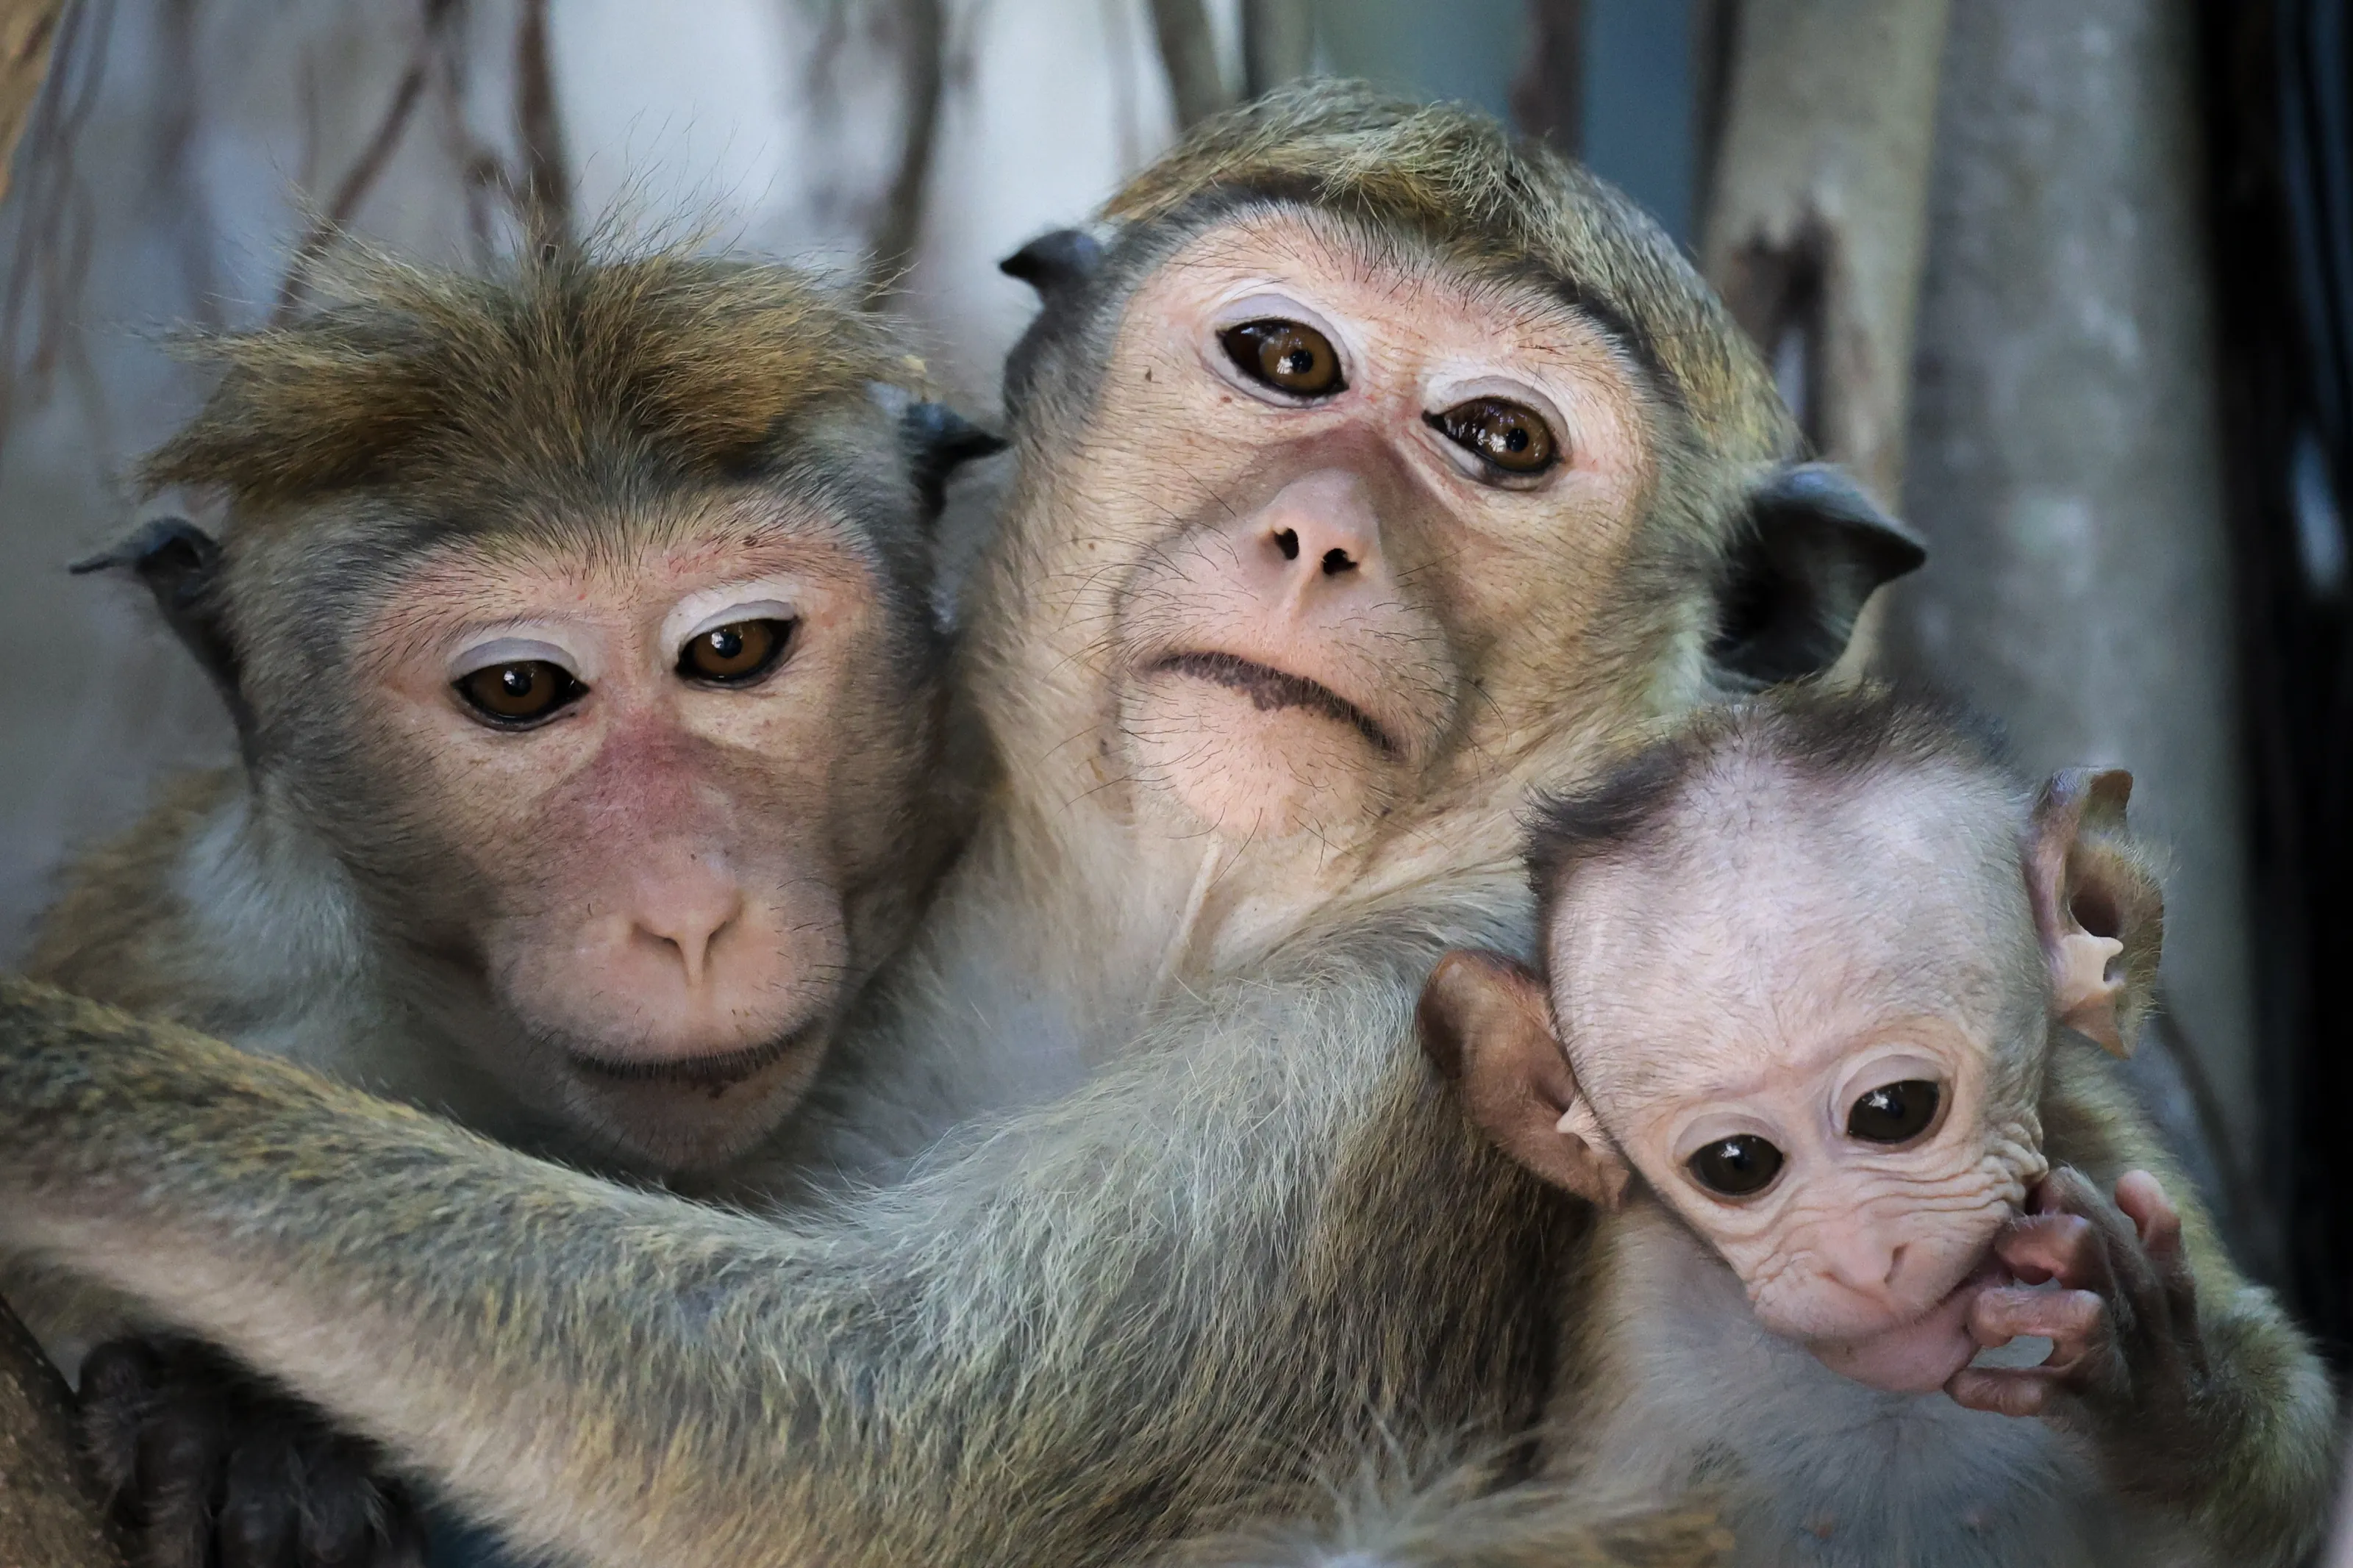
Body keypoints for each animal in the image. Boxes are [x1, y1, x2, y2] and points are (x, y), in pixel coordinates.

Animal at [1376, 685, 2337, 1566]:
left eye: (1892, 1111)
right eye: (1735, 1163)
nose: (1862, 1260)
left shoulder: (2104, 1155)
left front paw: (2158, 1398)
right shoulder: (1637, 1311)